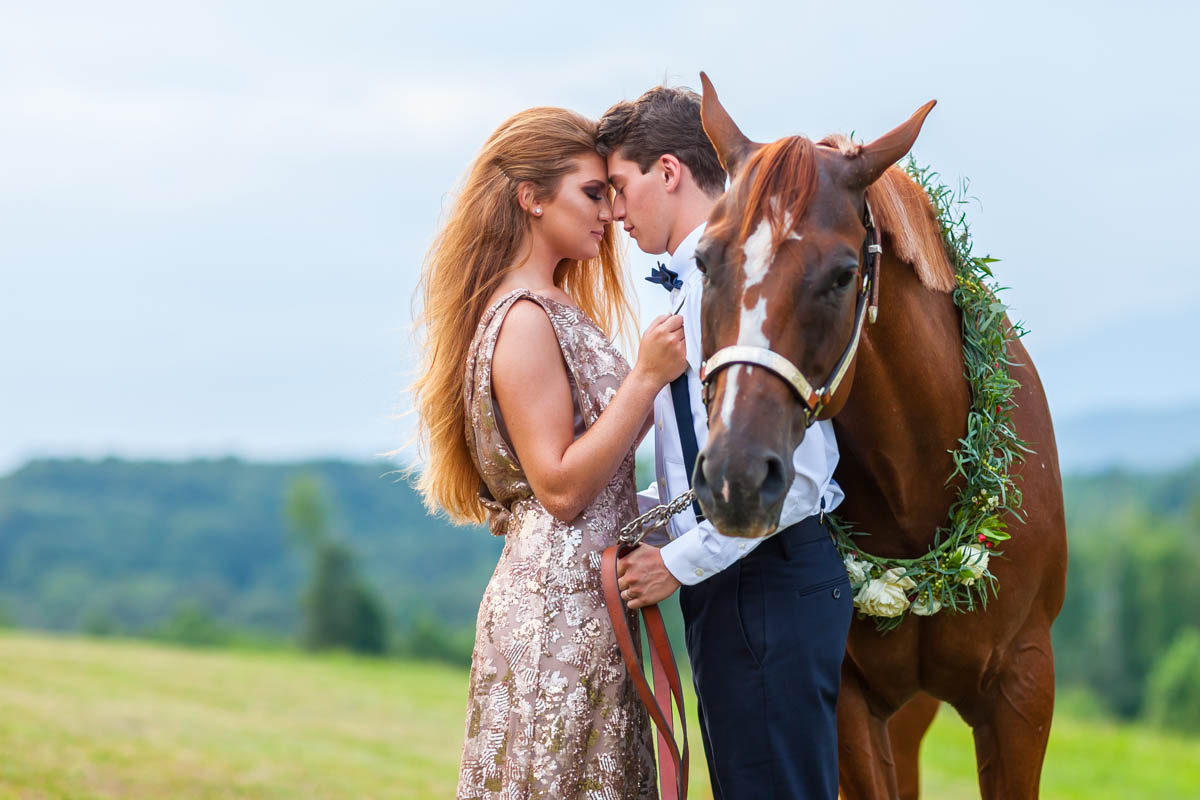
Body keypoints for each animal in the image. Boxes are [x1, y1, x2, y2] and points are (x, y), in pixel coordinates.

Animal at [686, 71, 1070, 796]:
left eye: (843, 274)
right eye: (703, 260)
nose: (736, 477)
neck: (917, 496)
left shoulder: (1022, 687)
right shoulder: (847, 700)